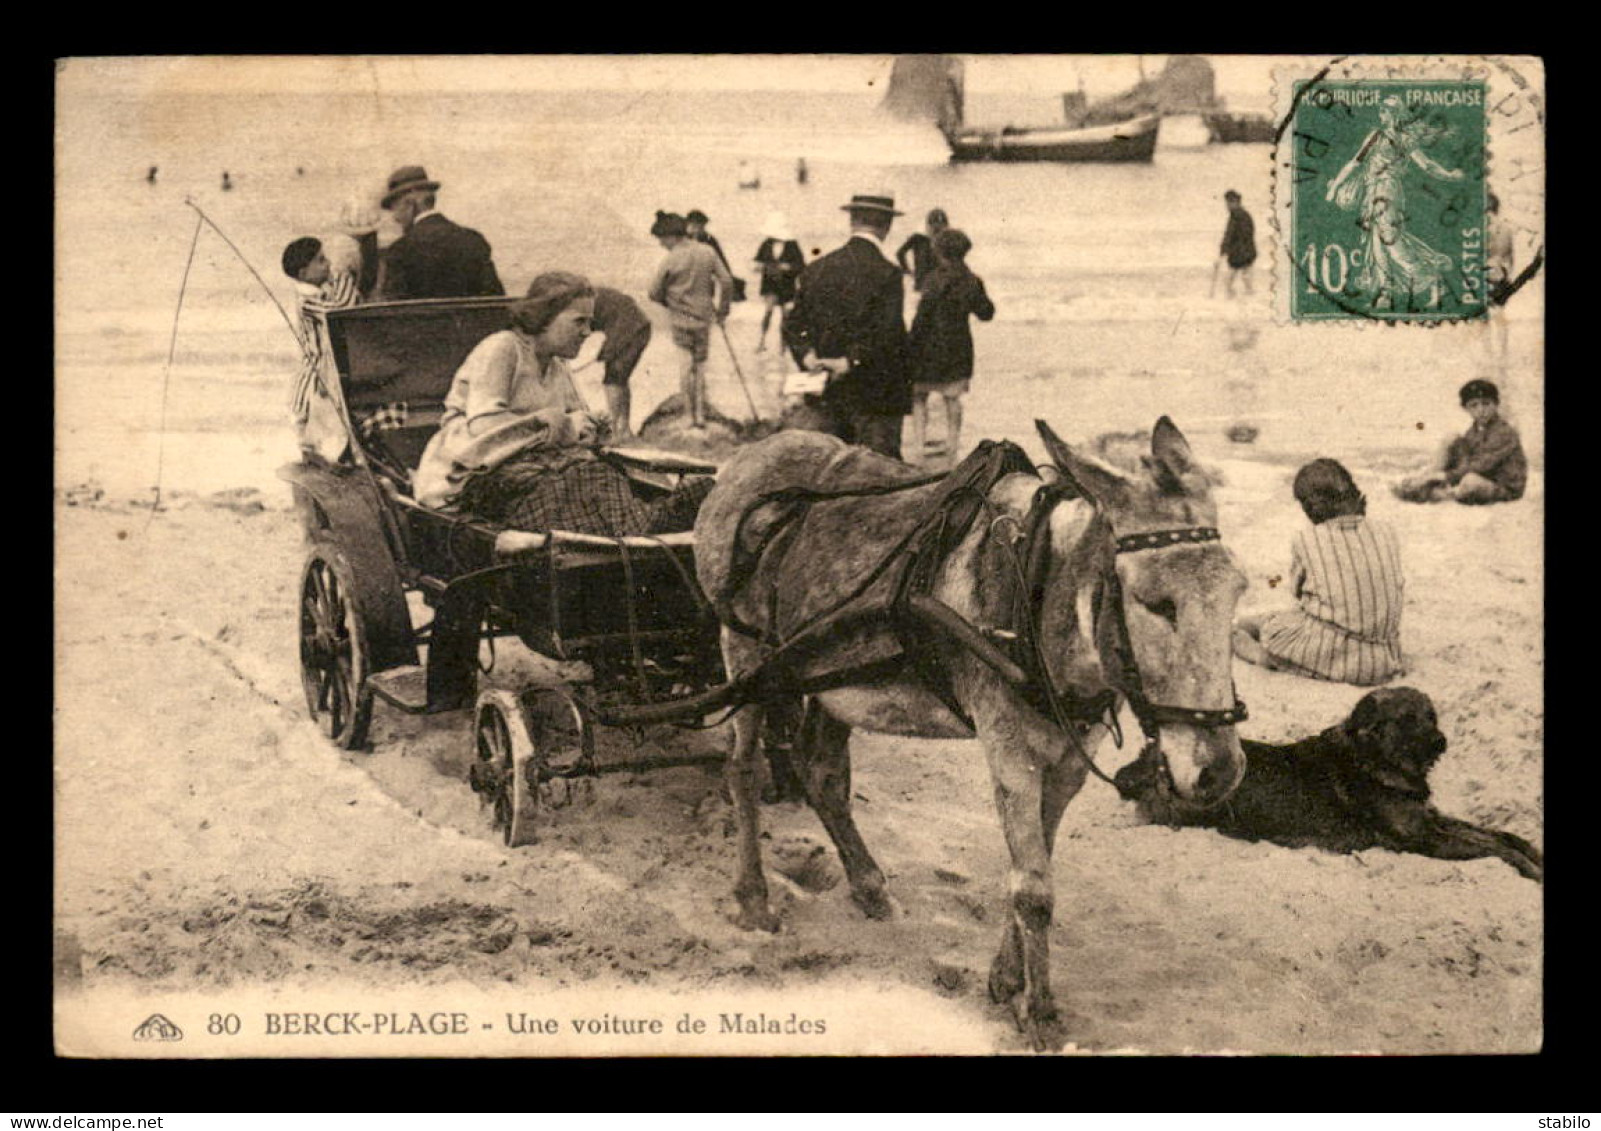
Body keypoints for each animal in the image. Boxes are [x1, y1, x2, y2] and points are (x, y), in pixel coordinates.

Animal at [1114, 682, 1536, 877]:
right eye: (1406, 720)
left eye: (1431, 716)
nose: (1440, 741)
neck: (1375, 761)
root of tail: (1147, 761)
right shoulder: (1421, 838)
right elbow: (1495, 850)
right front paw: (1531, 870)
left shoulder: (1430, 819)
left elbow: (1503, 837)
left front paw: (1533, 852)